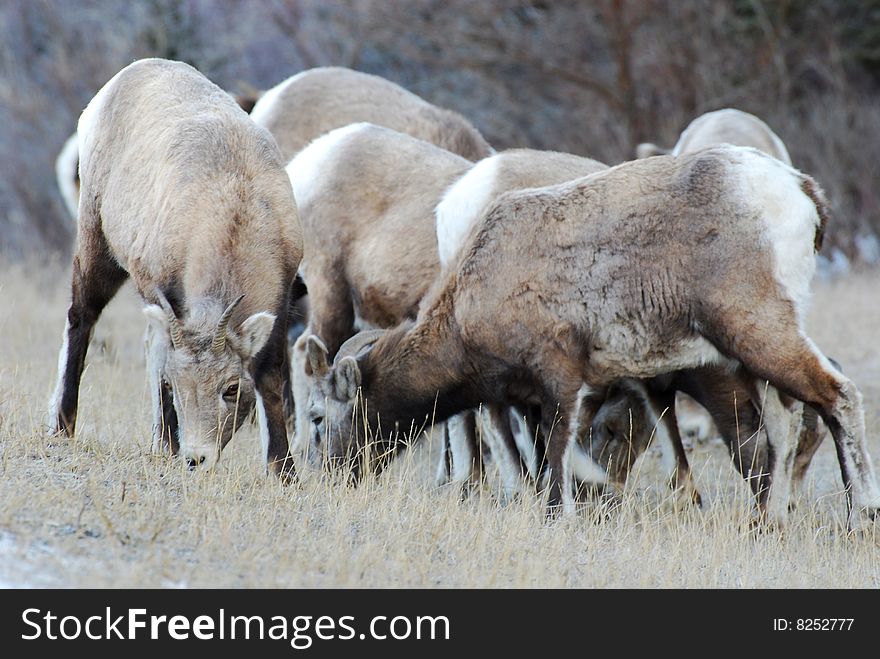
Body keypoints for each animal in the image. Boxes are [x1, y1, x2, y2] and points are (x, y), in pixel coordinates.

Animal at [49, 58, 302, 480]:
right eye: (177, 384)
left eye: (231, 389)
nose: (197, 459)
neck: (237, 210)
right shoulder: (163, 292)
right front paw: (167, 446)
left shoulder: (281, 303)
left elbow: (271, 377)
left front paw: (284, 471)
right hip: (96, 244)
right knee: (82, 316)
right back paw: (63, 427)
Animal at [306, 146, 876, 532]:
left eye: (321, 417)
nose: (330, 476)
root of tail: (800, 191)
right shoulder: (529, 397)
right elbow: (543, 454)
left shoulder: (560, 377)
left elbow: (558, 449)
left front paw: (564, 510)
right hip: (755, 351)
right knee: (782, 422)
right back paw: (772, 519)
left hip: (759, 330)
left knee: (835, 397)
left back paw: (858, 516)